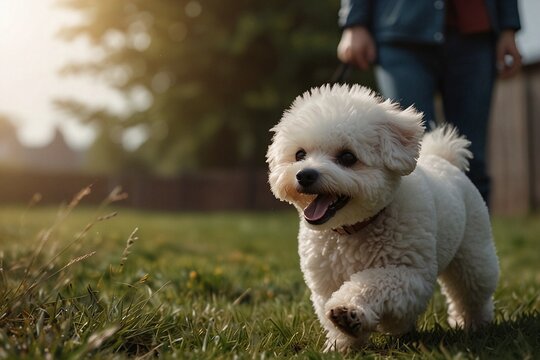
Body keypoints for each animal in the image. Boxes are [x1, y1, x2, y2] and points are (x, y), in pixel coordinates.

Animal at [268, 83, 500, 352]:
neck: (353, 229)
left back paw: (475, 324)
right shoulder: (324, 283)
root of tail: (443, 158)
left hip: (474, 254)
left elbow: (371, 282)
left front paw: (349, 310)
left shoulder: (410, 275)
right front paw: (343, 341)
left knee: (473, 292)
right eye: (299, 154)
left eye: (347, 157)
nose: (305, 175)